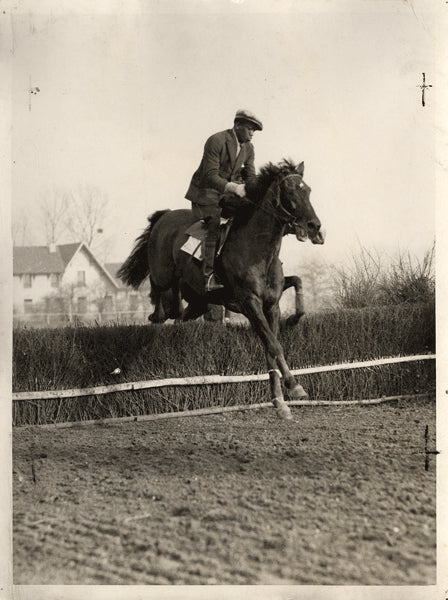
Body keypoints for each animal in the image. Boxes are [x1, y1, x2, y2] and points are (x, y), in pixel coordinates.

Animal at [119, 162, 322, 420]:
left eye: (309, 191)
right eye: (290, 192)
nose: (315, 227)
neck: (259, 249)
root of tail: (165, 215)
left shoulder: (271, 304)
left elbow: (274, 339)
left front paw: (280, 401)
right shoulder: (249, 302)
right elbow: (274, 345)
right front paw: (294, 386)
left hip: (199, 301)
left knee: (179, 316)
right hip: (163, 278)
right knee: (161, 304)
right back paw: (159, 312)